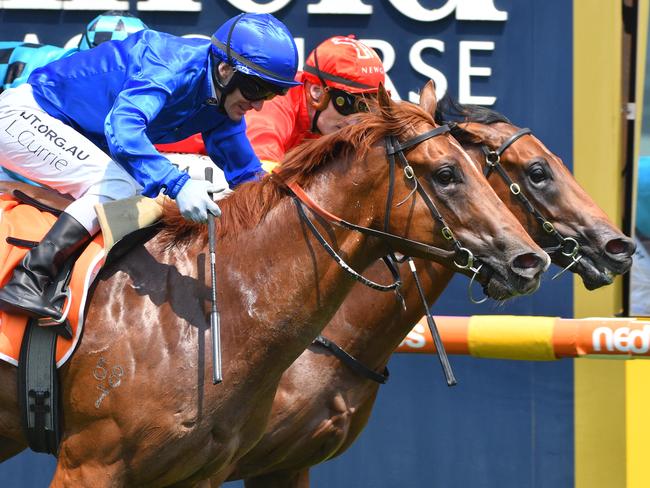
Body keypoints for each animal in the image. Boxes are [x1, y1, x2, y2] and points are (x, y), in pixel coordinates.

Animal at [0, 85, 548, 484]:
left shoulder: (216, 471)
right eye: (448, 173)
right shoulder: (90, 464)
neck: (207, 314)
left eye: (478, 168)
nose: (529, 261)